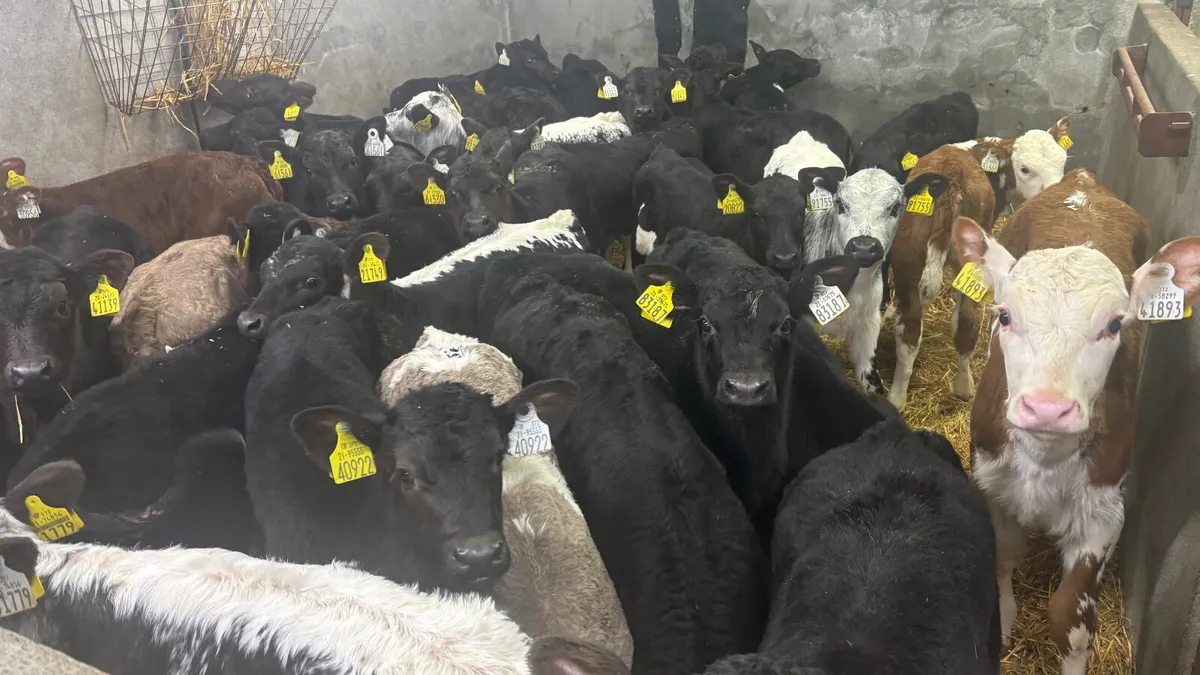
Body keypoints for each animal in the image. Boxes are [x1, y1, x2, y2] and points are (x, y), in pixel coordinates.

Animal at [951, 169, 1198, 675]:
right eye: (1005, 315)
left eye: (1115, 324)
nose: (1047, 407)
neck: (1044, 461)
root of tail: (1083, 180)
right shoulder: (992, 484)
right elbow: (1004, 556)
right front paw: (1004, 623)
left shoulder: (1105, 512)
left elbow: (1071, 617)